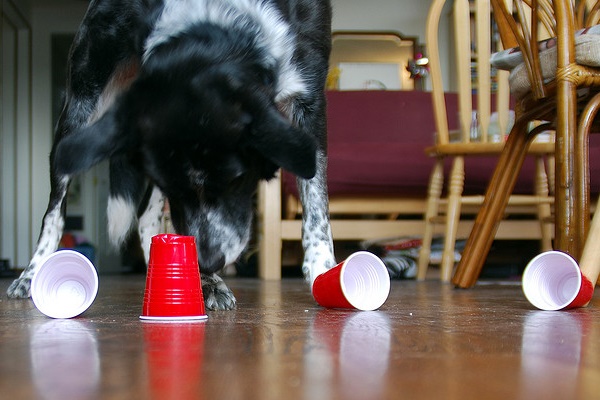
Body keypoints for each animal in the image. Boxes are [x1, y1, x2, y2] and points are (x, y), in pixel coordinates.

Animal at [7, 0, 336, 310]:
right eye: (175, 190)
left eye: (235, 180)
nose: (209, 262)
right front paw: (207, 282)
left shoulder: (310, 98)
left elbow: (315, 201)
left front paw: (323, 270)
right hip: (79, 108)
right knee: (55, 210)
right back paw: (31, 274)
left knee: (144, 216)